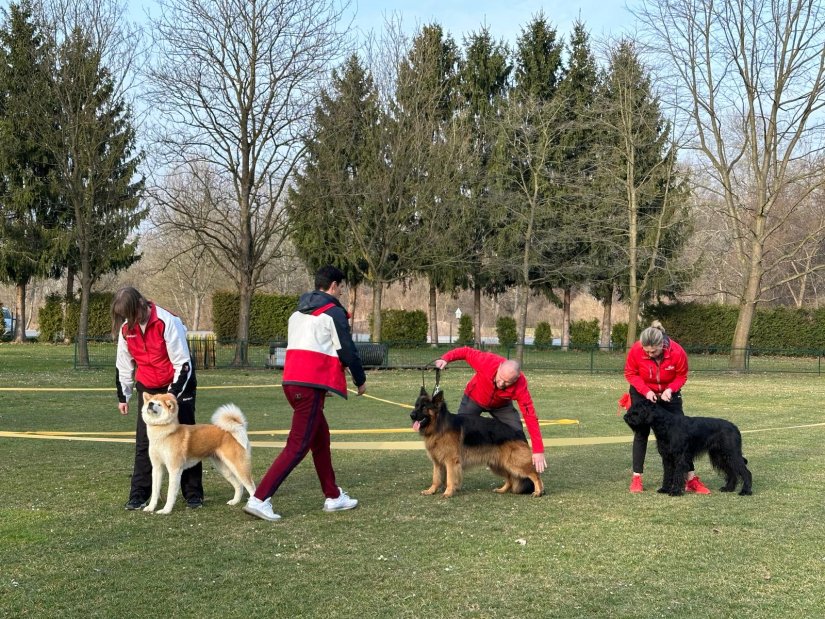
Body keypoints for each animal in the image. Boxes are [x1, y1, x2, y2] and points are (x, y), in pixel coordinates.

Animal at [408, 388, 544, 498]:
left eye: (424, 407)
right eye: (416, 405)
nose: (411, 415)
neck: (439, 425)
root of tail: (517, 432)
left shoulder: (451, 462)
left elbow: (450, 479)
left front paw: (448, 492)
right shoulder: (437, 462)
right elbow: (435, 479)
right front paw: (431, 491)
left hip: (514, 464)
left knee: (535, 475)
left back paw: (538, 491)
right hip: (499, 465)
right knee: (510, 478)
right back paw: (502, 490)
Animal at [620, 402, 748, 498]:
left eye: (637, 411)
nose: (625, 417)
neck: (666, 425)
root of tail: (735, 427)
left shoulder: (679, 457)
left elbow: (677, 474)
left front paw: (676, 491)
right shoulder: (667, 458)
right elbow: (667, 474)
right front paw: (665, 489)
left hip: (732, 454)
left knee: (746, 472)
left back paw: (746, 491)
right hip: (720, 456)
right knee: (732, 472)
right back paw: (728, 488)